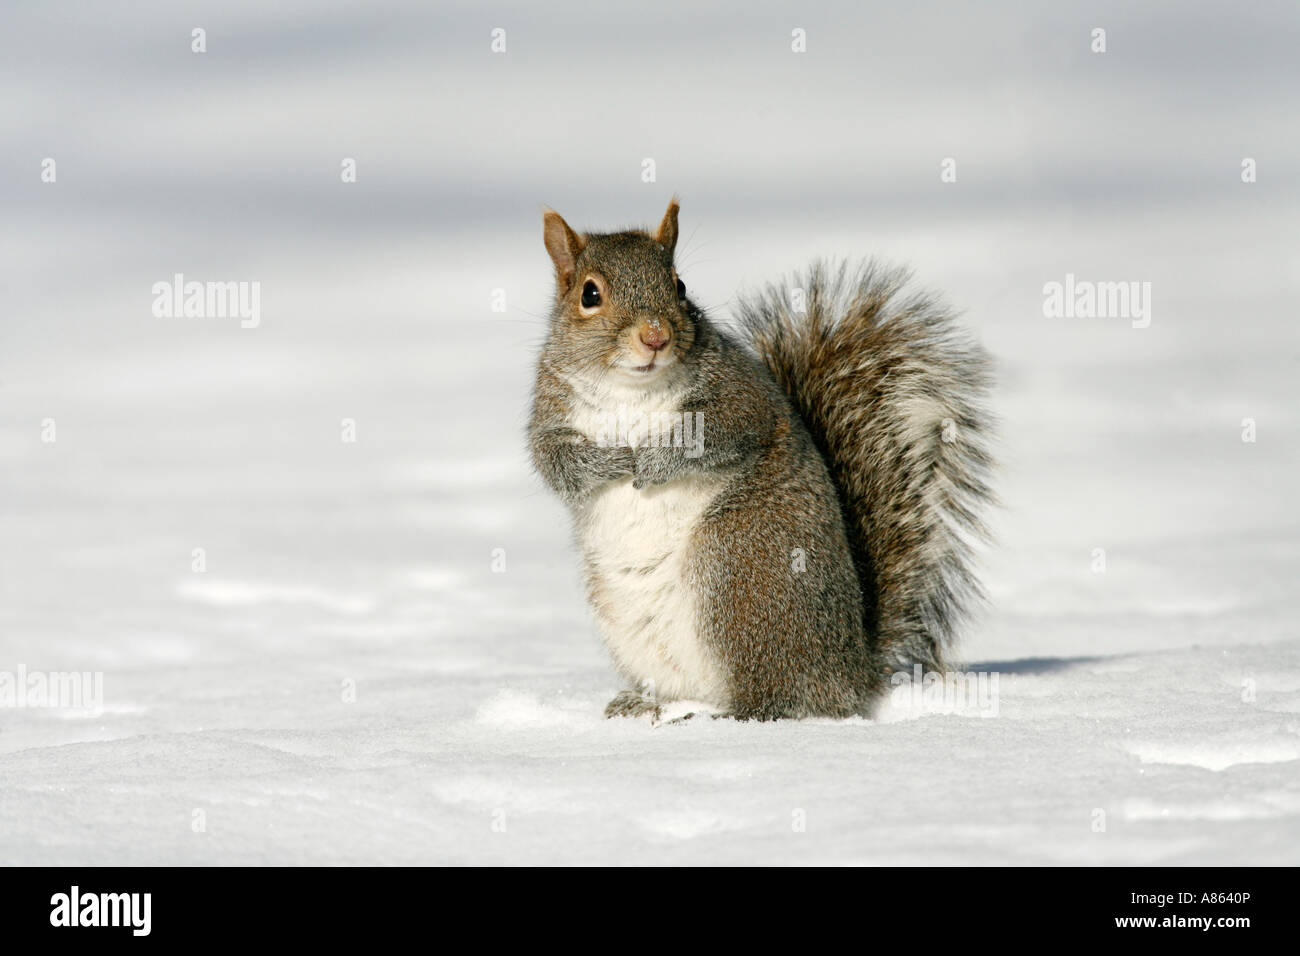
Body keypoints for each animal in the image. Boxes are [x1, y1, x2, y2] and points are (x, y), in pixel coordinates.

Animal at [527, 201, 993, 723]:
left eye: (679, 286)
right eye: (589, 294)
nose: (655, 336)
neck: (631, 389)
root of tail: (851, 674)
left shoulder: (741, 394)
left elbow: (724, 430)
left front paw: (653, 460)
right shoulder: (550, 409)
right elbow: (555, 461)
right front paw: (608, 462)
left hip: (737, 565)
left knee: (774, 698)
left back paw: (722, 717)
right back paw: (644, 704)